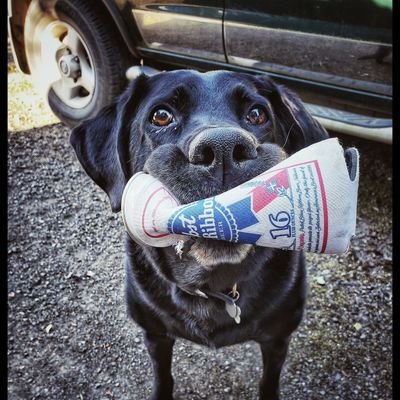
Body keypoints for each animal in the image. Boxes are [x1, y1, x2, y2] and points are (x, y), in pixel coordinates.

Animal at [70, 70, 330, 398]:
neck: (212, 285)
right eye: (161, 115)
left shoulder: (278, 338)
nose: (223, 148)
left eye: (257, 114)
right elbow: (163, 376)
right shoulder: (154, 334)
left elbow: (268, 381)